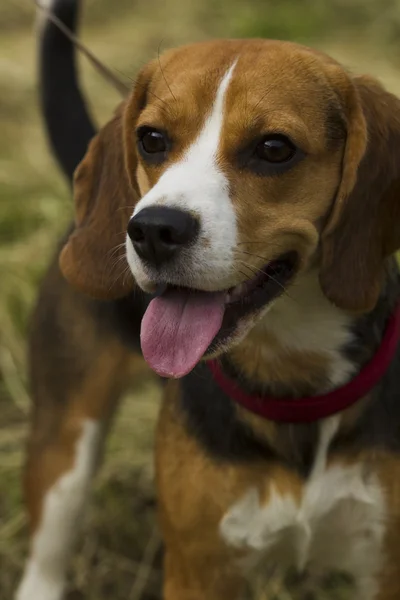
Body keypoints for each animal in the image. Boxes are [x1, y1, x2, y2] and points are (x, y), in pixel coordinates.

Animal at [17, 1, 400, 600]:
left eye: (274, 148)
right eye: (151, 138)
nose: (152, 230)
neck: (291, 374)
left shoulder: (386, 567)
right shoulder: (197, 571)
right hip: (63, 452)